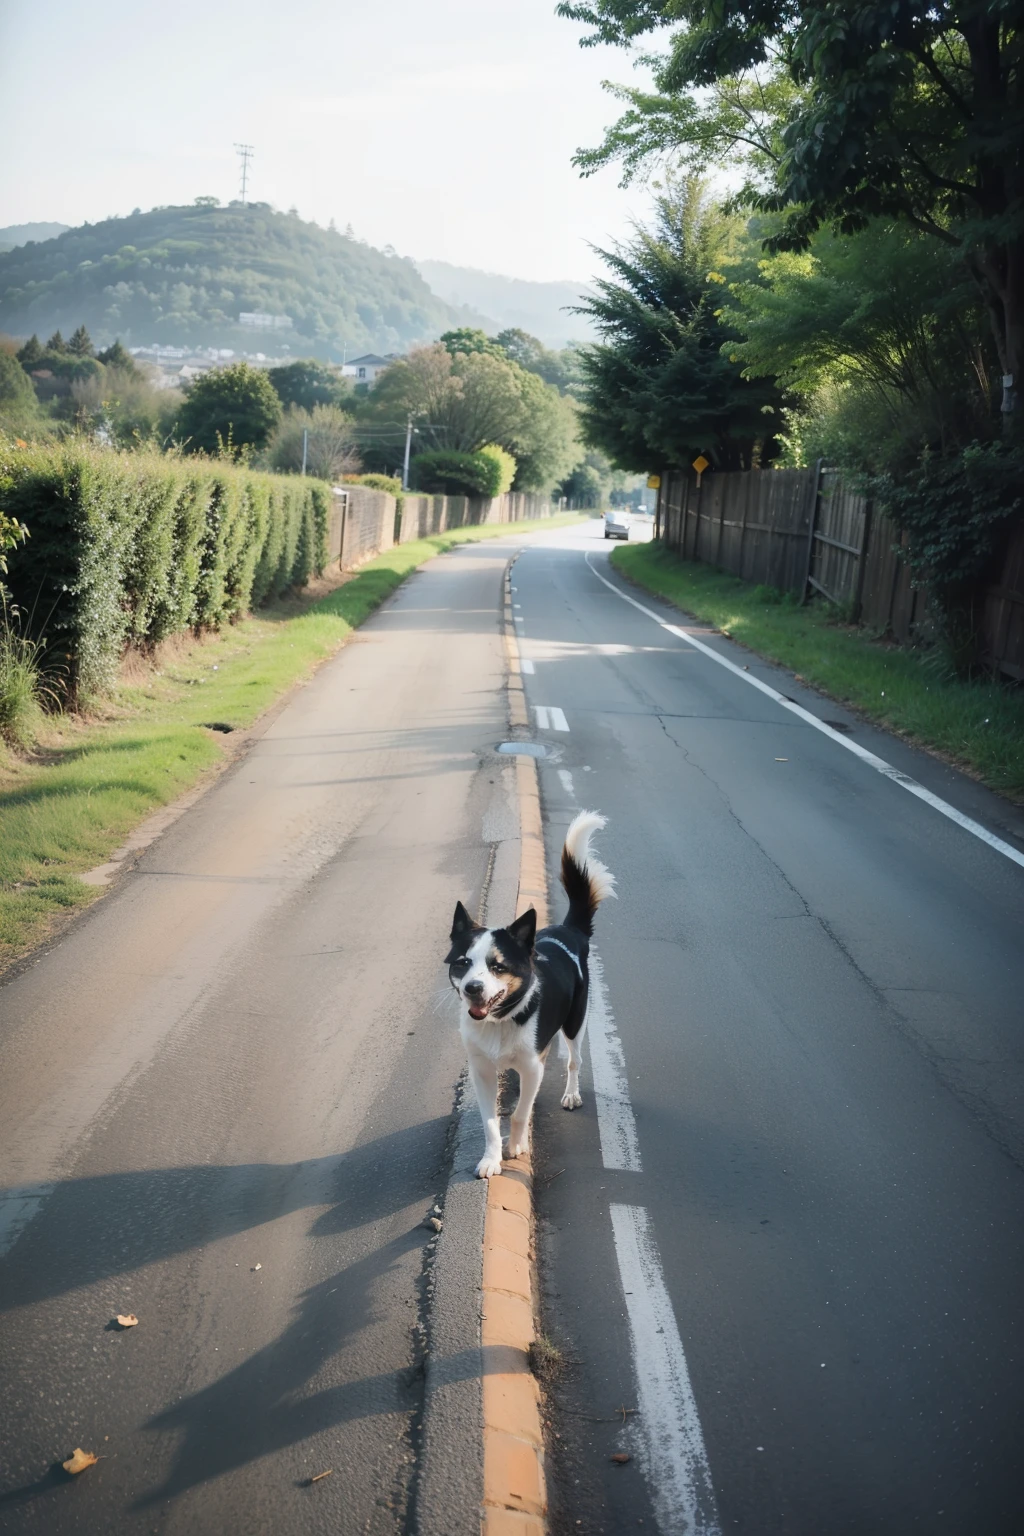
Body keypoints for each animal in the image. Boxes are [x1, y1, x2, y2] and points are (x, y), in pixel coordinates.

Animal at [445, 817, 614, 1173]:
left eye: (497, 966)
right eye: (463, 963)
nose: (472, 988)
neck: (501, 1020)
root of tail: (568, 930)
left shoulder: (532, 1067)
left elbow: (521, 1112)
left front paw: (516, 1146)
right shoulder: (482, 1070)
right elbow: (490, 1122)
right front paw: (491, 1158)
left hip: (575, 1024)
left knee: (575, 1061)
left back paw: (572, 1094)